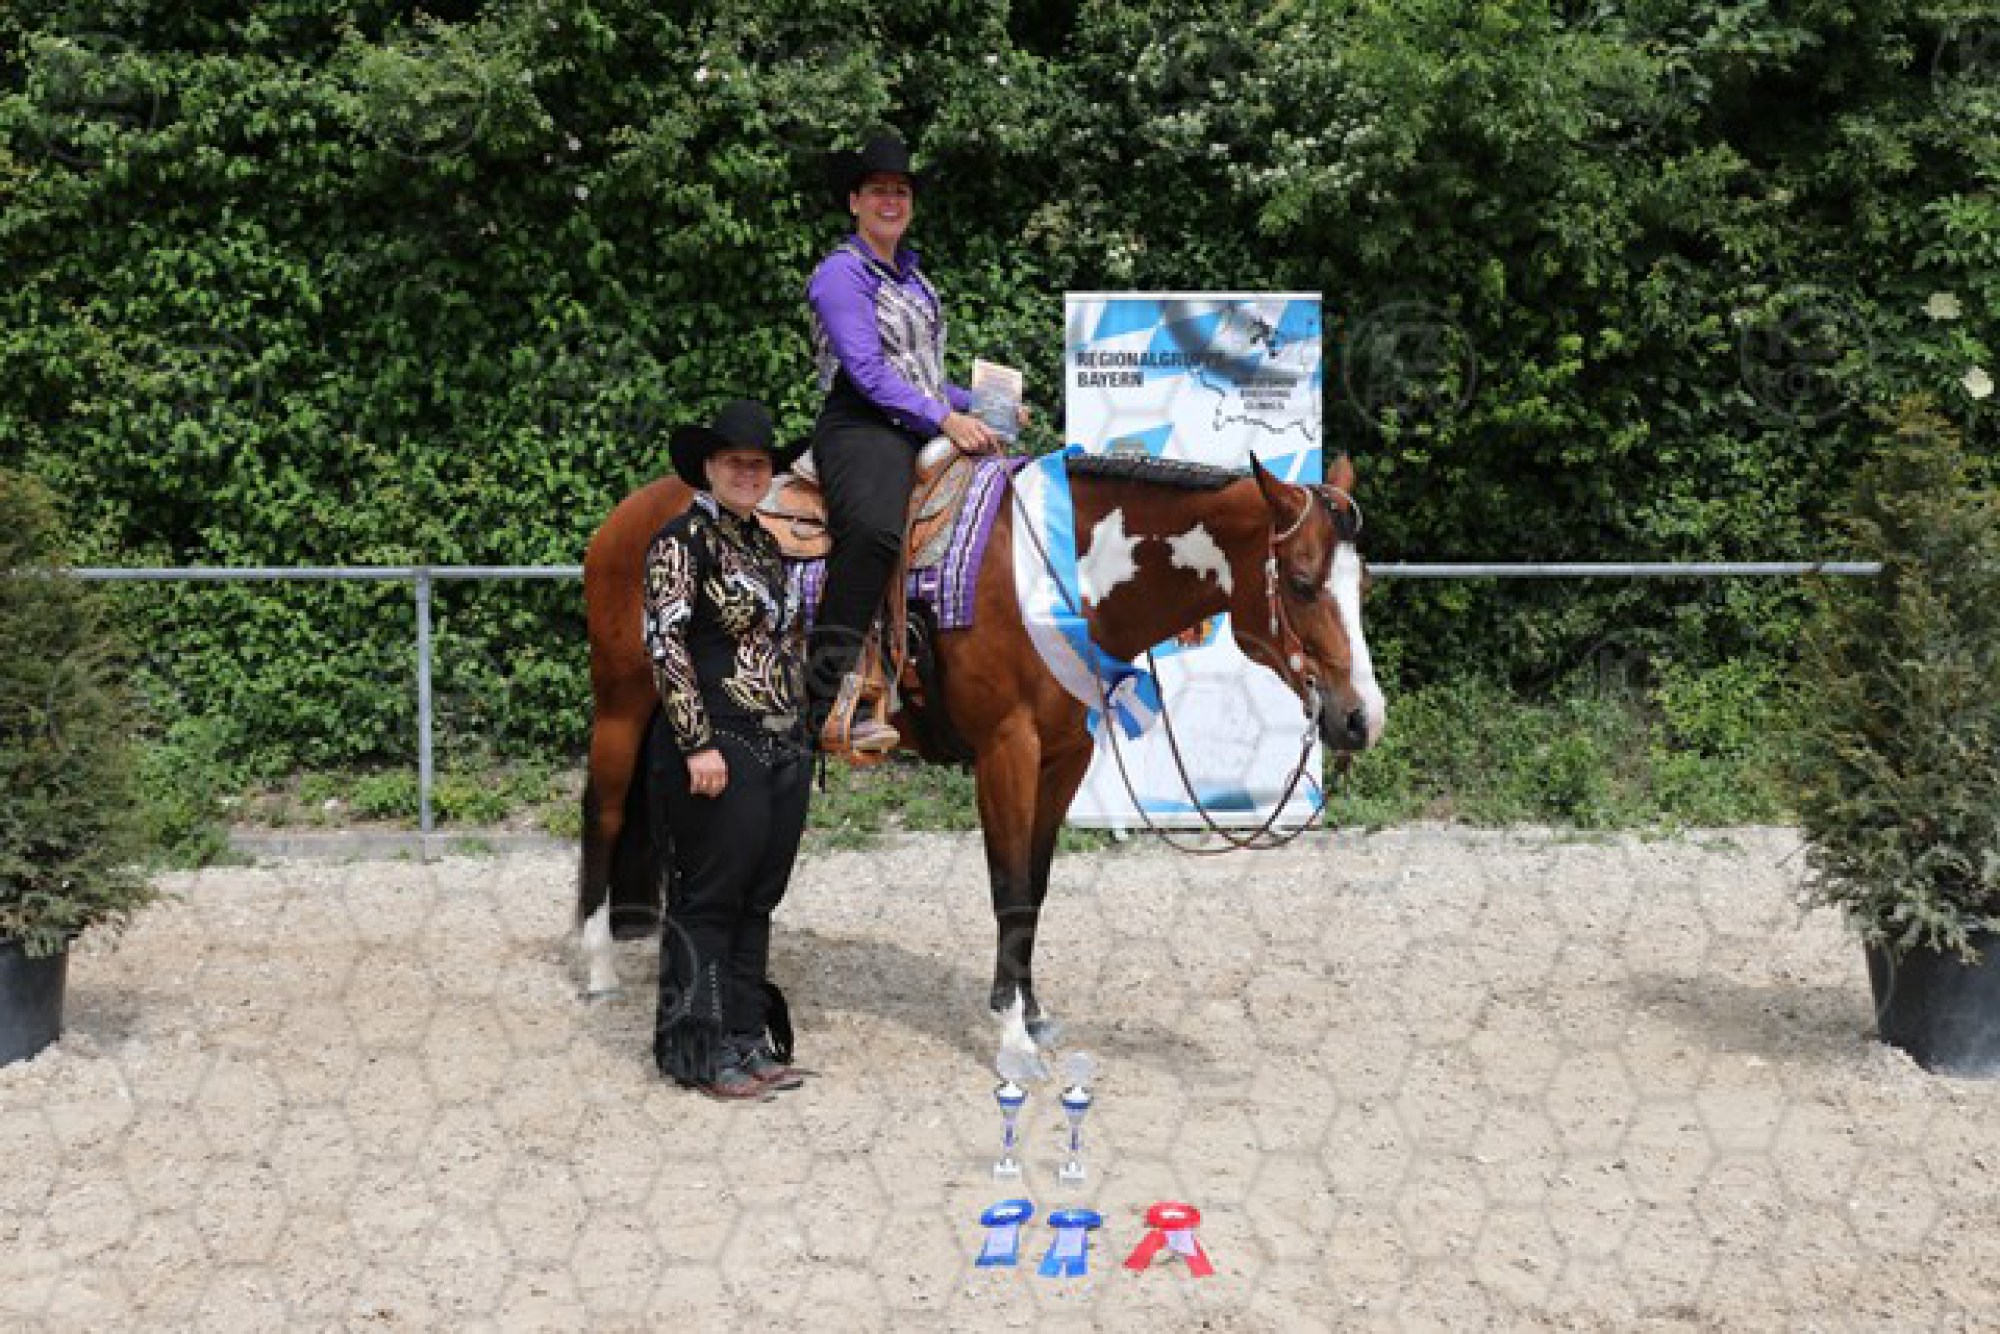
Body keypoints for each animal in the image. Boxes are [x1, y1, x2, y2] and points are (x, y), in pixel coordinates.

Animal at [575, 449, 1386, 1071]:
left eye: (1365, 585)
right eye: (1303, 581)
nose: (1360, 717)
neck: (1061, 579)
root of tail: (630, 512)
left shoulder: (1066, 756)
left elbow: (1038, 887)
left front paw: (1036, 1014)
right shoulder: (1007, 752)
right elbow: (1009, 889)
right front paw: (1010, 1036)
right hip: (622, 703)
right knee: (605, 812)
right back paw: (596, 966)